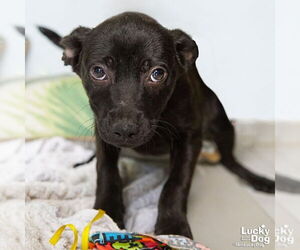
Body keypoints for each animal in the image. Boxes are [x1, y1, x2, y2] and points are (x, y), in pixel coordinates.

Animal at [38, 11, 274, 238]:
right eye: (98, 71)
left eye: (157, 74)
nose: (125, 130)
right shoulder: (102, 132)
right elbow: (106, 172)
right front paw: (106, 214)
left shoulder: (189, 138)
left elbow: (176, 183)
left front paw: (173, 226)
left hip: (222, 123)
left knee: (229, 160)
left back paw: (257, 179)